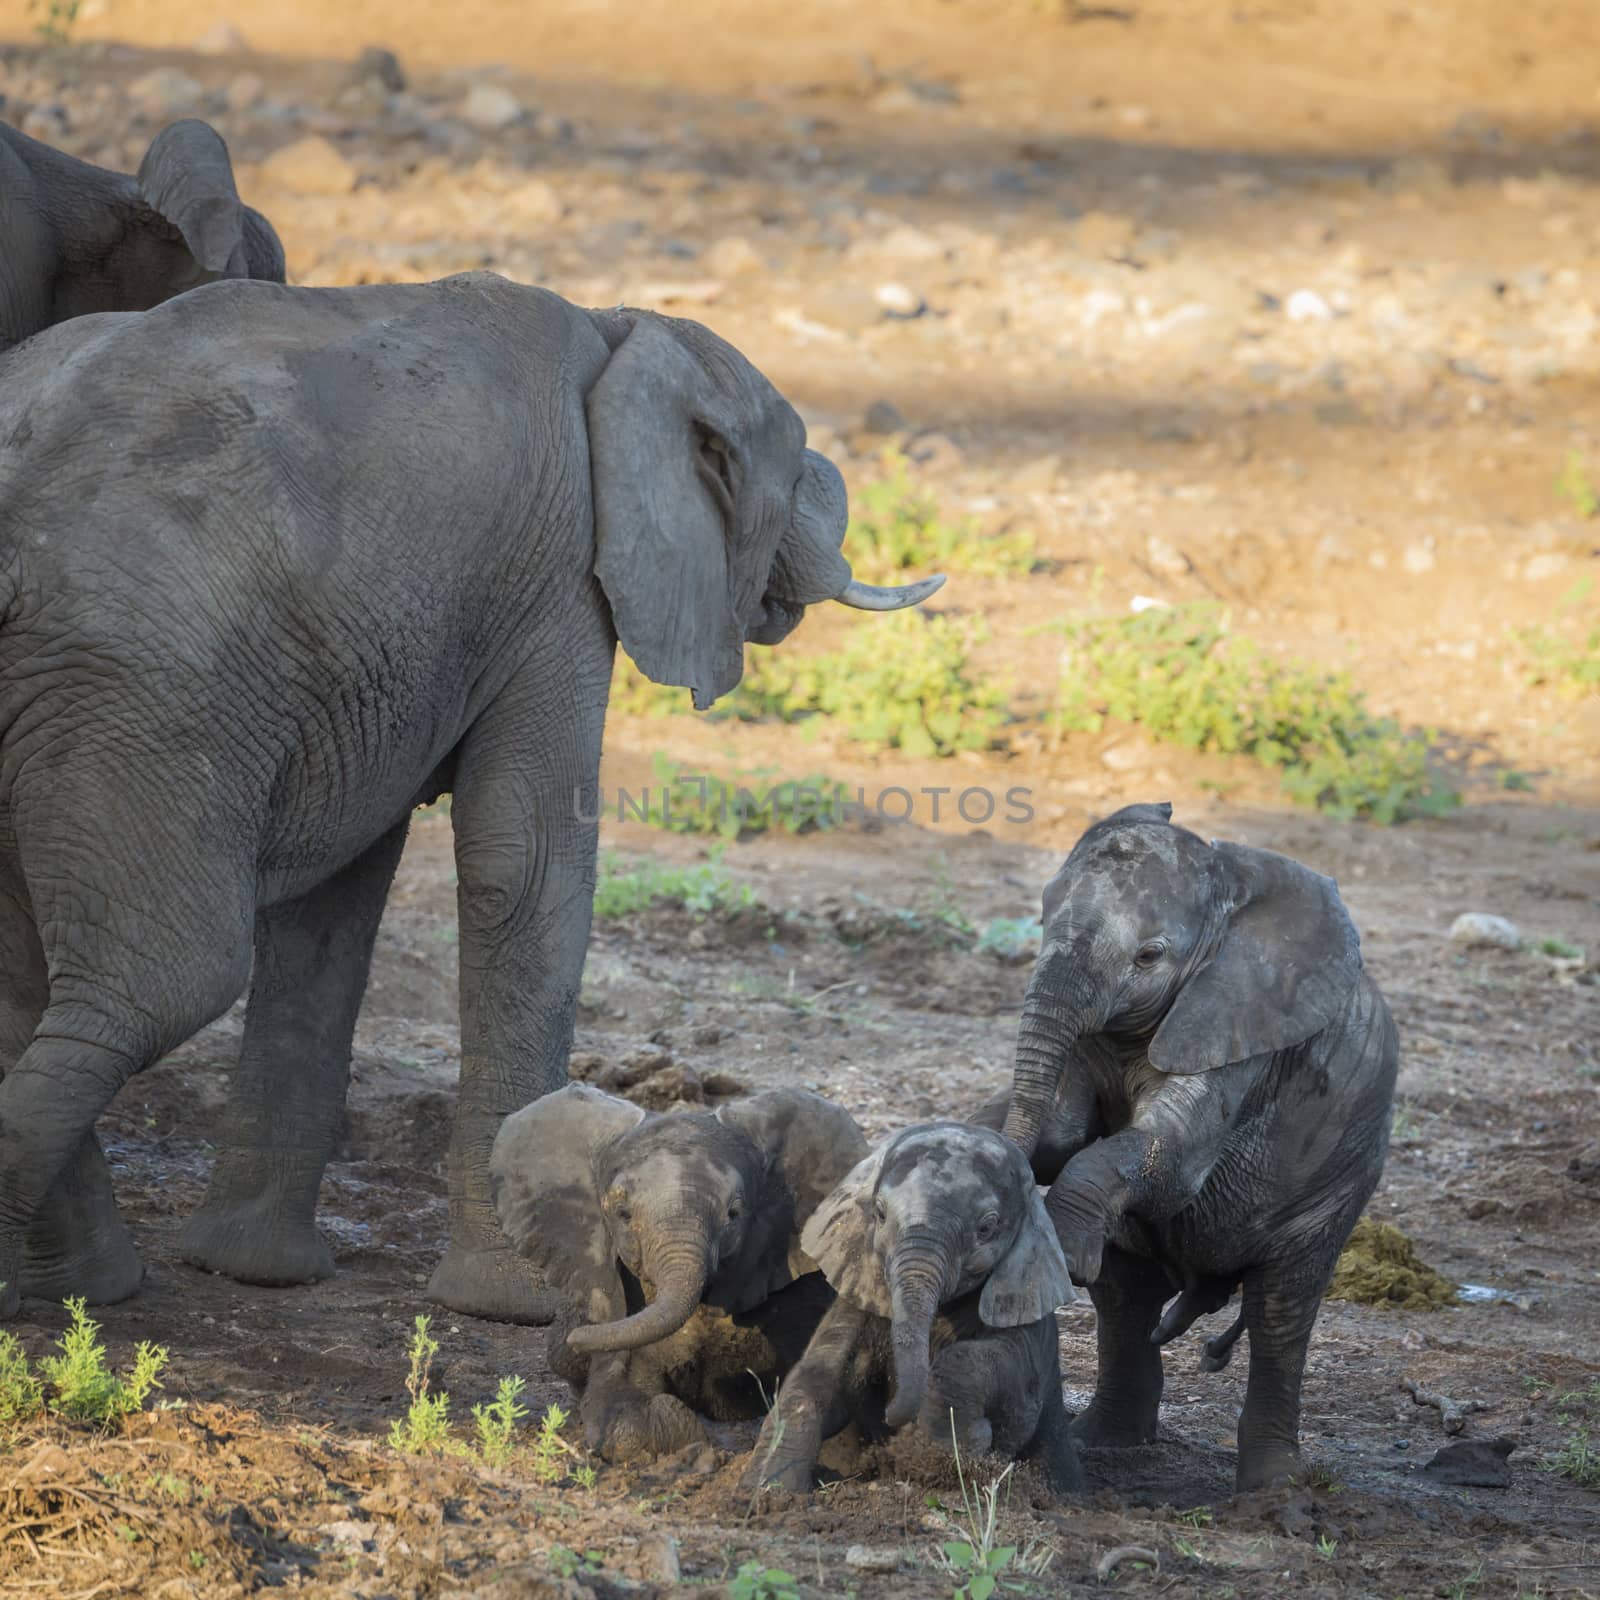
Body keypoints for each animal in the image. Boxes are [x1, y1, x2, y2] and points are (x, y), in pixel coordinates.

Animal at [985, 806, 1401, 1491]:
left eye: (1149, 956)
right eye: (1042, 921)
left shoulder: (1241, 1032)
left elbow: (1172, 1155)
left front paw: (1063, 1252)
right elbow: (1062, 1134)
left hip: (1342, 1182)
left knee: (1281, 1315)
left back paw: (1273, 1489)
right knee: (1125, 1300)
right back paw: (1104, 1443)